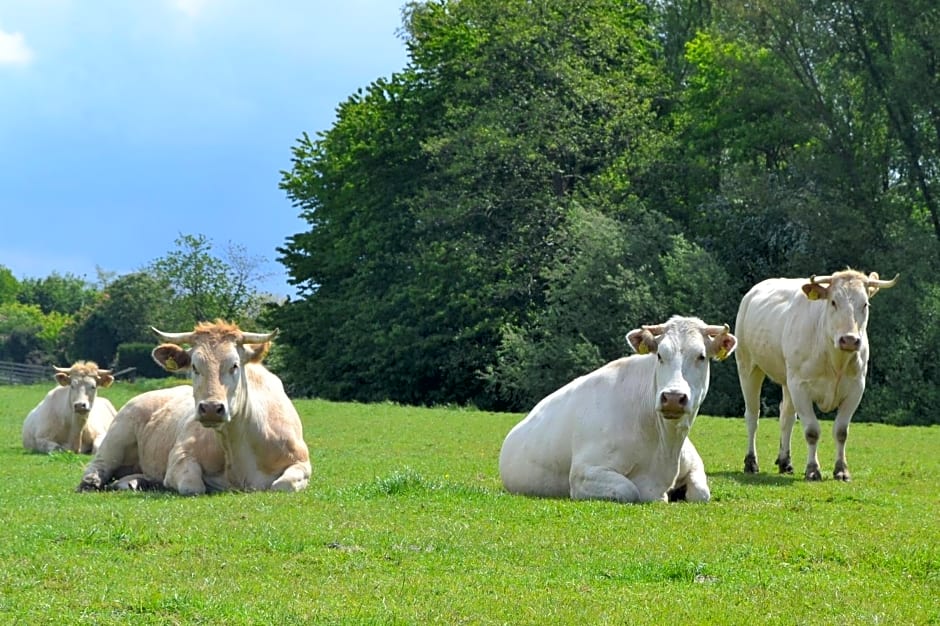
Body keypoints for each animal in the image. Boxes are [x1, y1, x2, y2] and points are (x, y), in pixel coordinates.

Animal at [78, 320, 312, 494]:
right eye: (194, 366)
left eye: (235, 365)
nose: (211, 408)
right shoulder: (180, 456)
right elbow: (193, 485)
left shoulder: (302, 462)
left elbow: (283, 485)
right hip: (117, 436)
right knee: (99, 464)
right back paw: (91, 481)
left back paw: (136, 482)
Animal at [496, 316, 740, 502]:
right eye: (660, 355)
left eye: (701, 356)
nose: (672, 397)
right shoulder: (584, 473)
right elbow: (629, 489)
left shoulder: (694, 464)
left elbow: (701, 493)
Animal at [736, 266, 896, 478]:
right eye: (833, 302)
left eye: (865, 304)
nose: (849, 340)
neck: (835, 360)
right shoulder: (800, 387)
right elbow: (812, 431)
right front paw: (812, 470)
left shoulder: (856, 388)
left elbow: (841, 431)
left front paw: (841, 470)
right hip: (748, 366)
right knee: (753, 416)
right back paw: (751, 462)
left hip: (787, 379)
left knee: (786, 417)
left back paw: (785, 462)